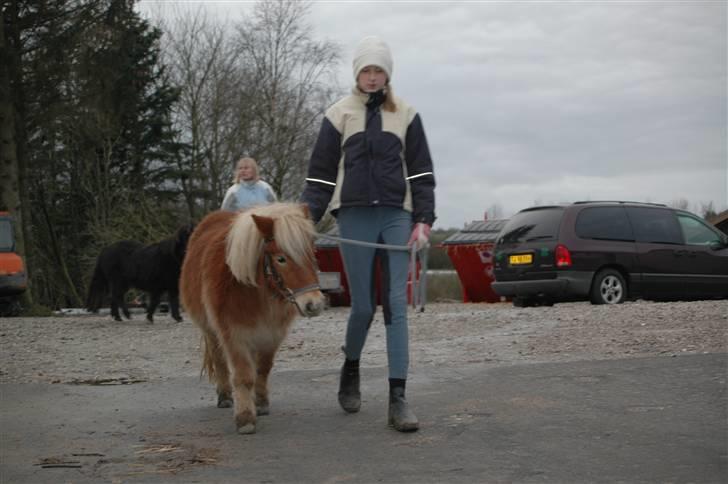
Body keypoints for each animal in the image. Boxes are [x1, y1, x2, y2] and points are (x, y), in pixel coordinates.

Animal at [183, 202, 326, 432]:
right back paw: (225, 396)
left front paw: (260, 403)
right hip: (211, 330)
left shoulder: (271, 335)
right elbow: (243, 376)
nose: (314, 304)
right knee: (219, 359)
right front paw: (245, 418)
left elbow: (263, 369)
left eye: (311, 253)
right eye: (281, 258)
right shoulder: (234, 335)